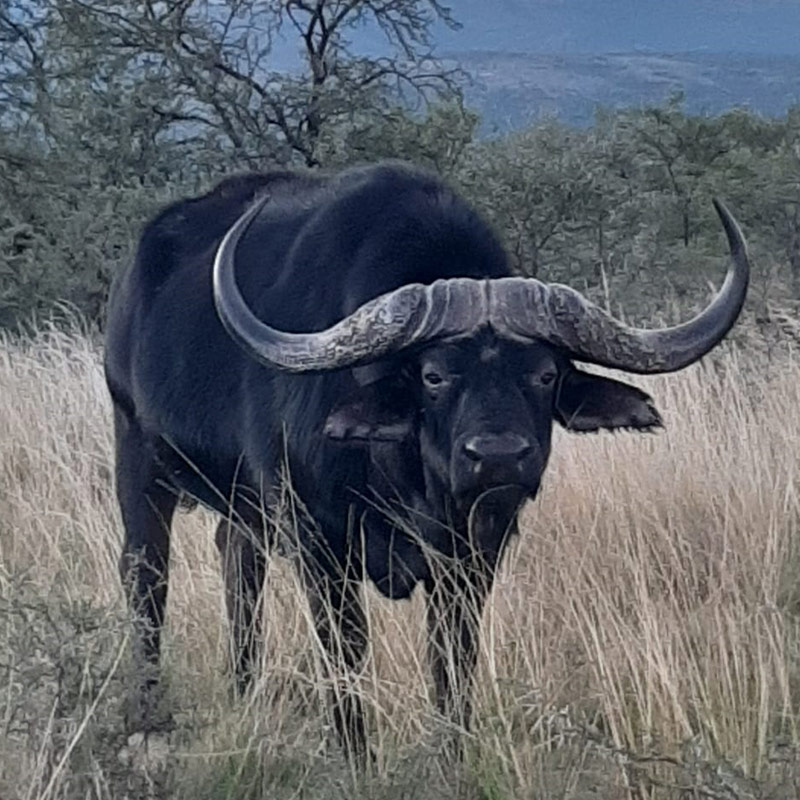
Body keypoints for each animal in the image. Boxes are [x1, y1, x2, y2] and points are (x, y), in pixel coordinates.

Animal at [104, 162, 749, 759]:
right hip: (137, 456)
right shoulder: (320, 543)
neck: (409, 483)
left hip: (244, 504)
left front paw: (452, 751)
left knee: (239, 567)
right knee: (147, 575)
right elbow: (345, 651)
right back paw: (149, 708)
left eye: (545, 374)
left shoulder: (473, 558)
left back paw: (244, 688)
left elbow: (452, 657)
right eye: (434, 375)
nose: (498, 458)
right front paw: (356, 756)